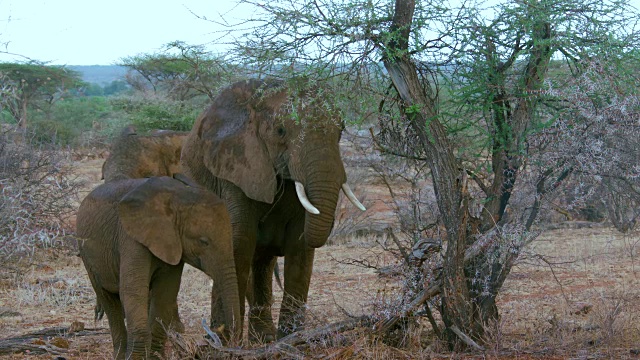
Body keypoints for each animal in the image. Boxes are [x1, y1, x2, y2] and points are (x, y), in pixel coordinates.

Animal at [77, 176, 240, 358]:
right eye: (203, 242)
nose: (219, 335)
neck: (177, 197)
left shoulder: (173, 243)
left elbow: (165, 293)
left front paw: (155, 356)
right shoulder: (131, 237)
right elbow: (132, 291)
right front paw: (136, 358)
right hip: (86, 254)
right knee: (108, 299)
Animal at [181, 78, 364, 340]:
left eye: (341, 131)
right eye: (280, 131)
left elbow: (300, 245)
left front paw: (291, 340)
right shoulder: (235, 164)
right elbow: (239, 240)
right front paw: (223, 342)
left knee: (263, 262)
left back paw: (264, 338)